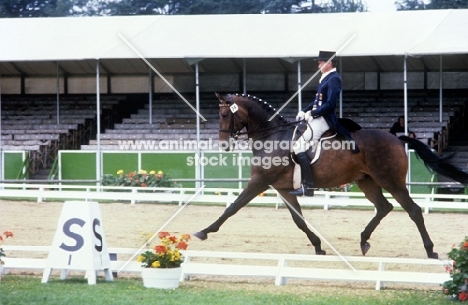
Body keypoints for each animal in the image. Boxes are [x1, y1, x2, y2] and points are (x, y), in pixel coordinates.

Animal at [192, 92, 466, 256]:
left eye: (224, 114)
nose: (223, 145)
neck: (272, 136)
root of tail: (398, 139)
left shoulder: (259, 181)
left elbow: (232, 207)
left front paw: (204, 231)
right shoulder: (283, 189)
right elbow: (299, 221)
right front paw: (318, 247)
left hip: (391, 180)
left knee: (413, 211)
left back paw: (430, 251)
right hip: (367, 181)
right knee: (384, 207)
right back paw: (364, 241)